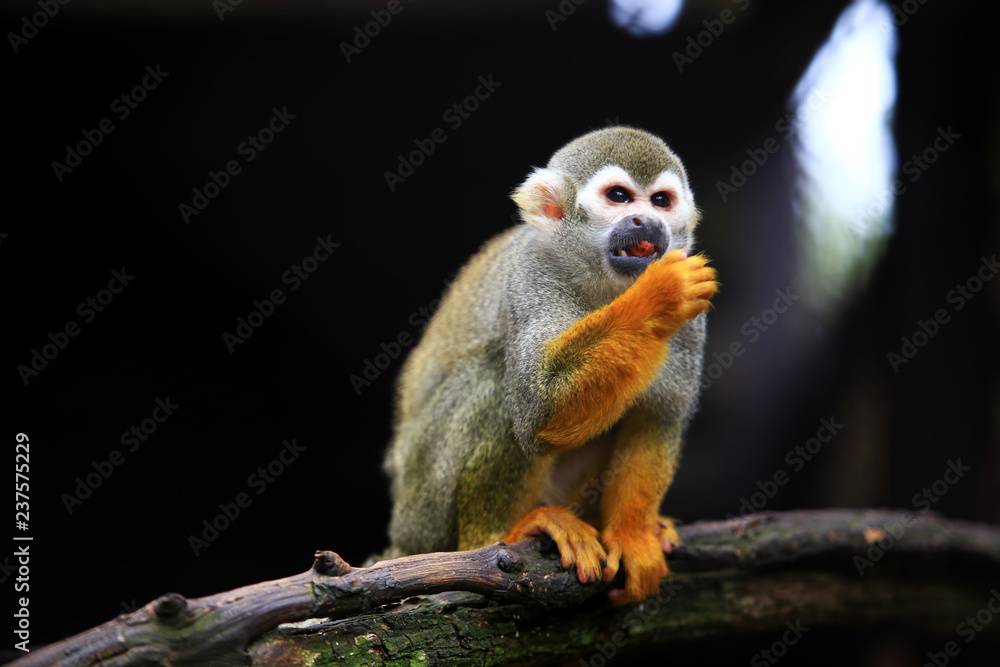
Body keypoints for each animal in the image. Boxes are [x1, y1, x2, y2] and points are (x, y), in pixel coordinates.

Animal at [380, 126, 717, 604]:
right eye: (619, 196)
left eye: (660, 201)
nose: (646, 221)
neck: (605, 285)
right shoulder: (532, 273)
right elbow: (542, 406)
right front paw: (658, 296)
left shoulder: (694, 319)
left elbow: (657, 417)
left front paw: (633, 537)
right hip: (421, 507)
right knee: (498, 379)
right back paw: (503, 535)